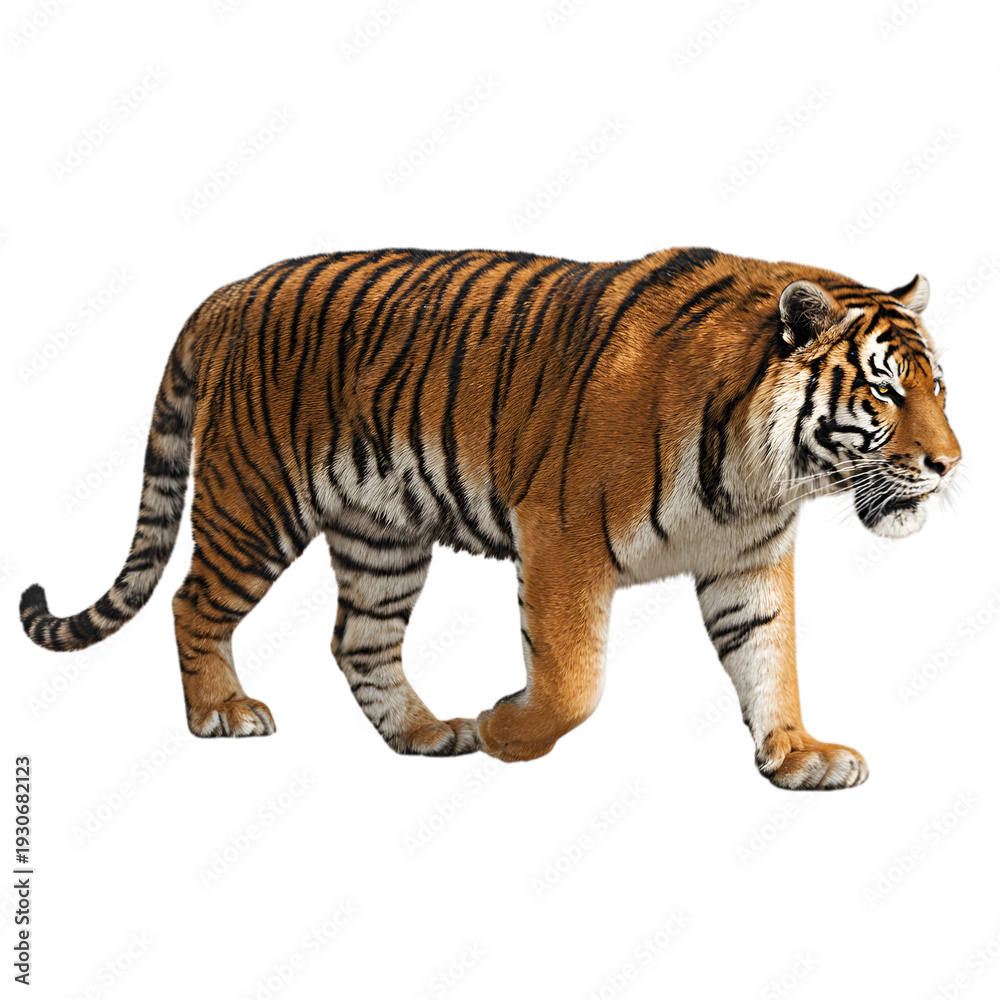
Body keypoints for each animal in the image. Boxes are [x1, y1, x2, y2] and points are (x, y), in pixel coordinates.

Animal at [19, 246, 961, 789]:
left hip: (382, 534)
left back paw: (426, 733)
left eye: (939, 388)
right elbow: (573, 681)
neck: (763, 473)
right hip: (256, 502)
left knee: (359, 640)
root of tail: (229, 290)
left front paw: (799, 755)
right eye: (885, 390)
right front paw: (508, 733)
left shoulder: (746, 560)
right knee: (192, 602)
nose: (950, 464)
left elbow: (771, 657)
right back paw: (223, 712)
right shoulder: (563, 536)